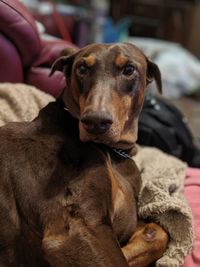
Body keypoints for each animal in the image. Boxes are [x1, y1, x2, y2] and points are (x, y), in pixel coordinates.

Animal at [0, 43, 168, 266]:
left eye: (129, 69)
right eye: (81, 68)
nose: (96, 122)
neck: (111, 152)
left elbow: (159, 232)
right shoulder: (78, 232)